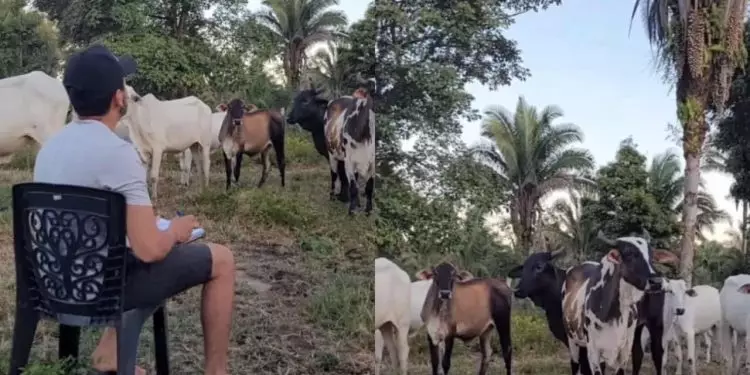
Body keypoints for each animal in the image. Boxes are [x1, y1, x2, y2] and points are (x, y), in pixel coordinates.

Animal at [564, 231, 680, 374]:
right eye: (629, 254)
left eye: (652, 256)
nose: (657, 282)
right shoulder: (593, 351)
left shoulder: (624, 350)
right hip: (573, 340)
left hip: (656, 327)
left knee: (657, 356)